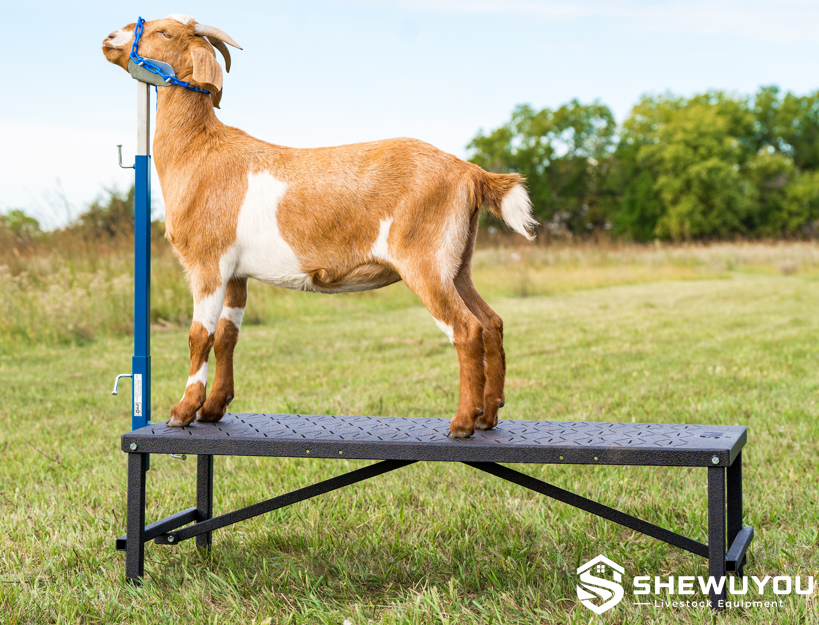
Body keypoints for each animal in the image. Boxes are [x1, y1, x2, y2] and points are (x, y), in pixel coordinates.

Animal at [102, 15, 537, 438]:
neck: (199, 152)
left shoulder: (208, 262)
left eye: (164, 32)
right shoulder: (237, 273)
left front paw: (183, 411)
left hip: (425, 261)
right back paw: (488, 415)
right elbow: (227, 336)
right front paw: (213, 409)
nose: (109, 38)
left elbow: (200, 336)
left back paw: (462, 423)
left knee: (466, 329)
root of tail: (470, 172)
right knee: (491, 322)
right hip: (457, 262)